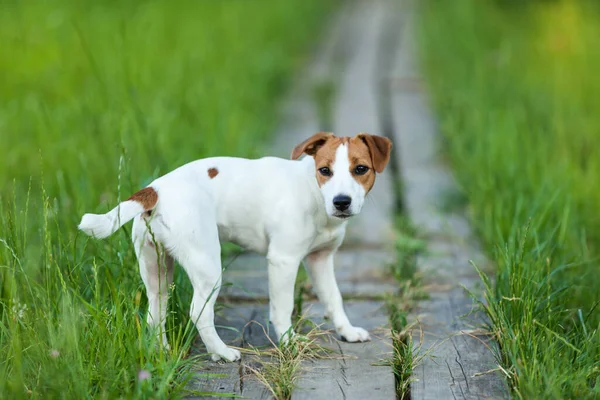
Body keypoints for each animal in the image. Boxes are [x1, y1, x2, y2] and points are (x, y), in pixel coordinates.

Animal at [77, 132, 392, 362]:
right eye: (324, 170)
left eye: (361, 169)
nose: (341, 202)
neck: (313, 191)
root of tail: (156, 190)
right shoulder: (283, 260)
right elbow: (282, 308)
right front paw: (289, 342)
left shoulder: (320, 260)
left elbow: (334, 298)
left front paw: (347, 331)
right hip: (207, 265)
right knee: (198, 311)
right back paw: (221, 352)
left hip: (156, 268)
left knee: (156, 311)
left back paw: (161, 351)